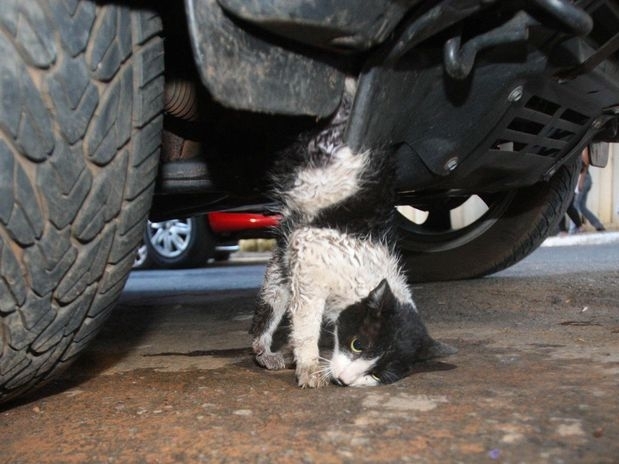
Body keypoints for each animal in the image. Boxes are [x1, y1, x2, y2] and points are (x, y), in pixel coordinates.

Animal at [248, 85, 456, 386]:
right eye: (358, 344)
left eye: (377, 374)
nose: (345, 381)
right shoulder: (308, 255)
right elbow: (306, 324)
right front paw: (309, 365)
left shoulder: (293, 249)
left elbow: (276, 297)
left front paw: (278, 351)